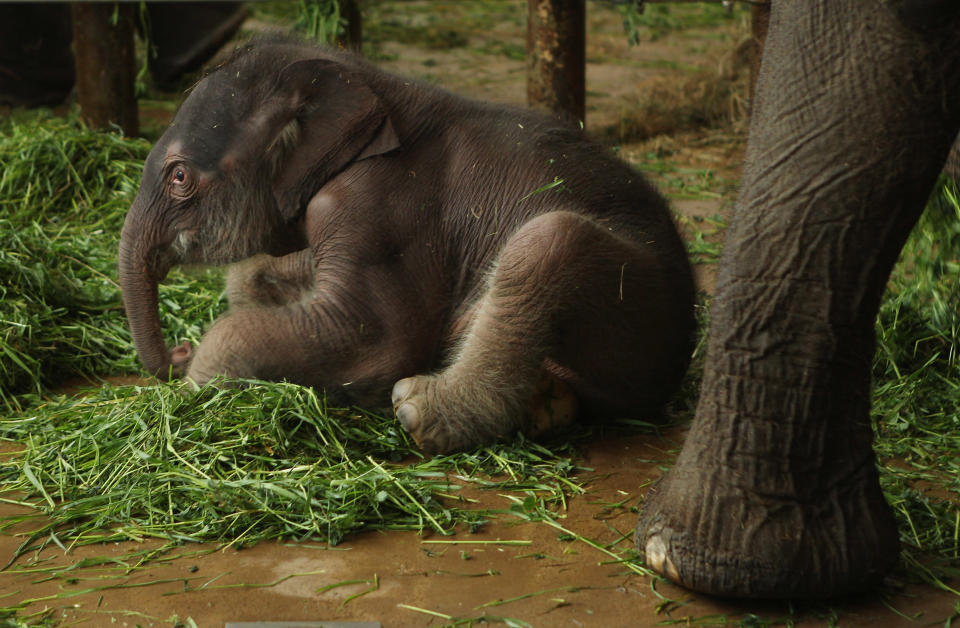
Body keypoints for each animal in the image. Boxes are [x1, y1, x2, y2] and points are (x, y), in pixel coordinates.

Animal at [118, 38, 696, 452]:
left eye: (179, 177)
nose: (178, 350)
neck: (361, 78)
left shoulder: (379, 208)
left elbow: (375, 341)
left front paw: (194, 388)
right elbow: (254, 275)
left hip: (639, 314)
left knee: (549, 241)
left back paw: (417, 410)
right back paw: (544, 405)